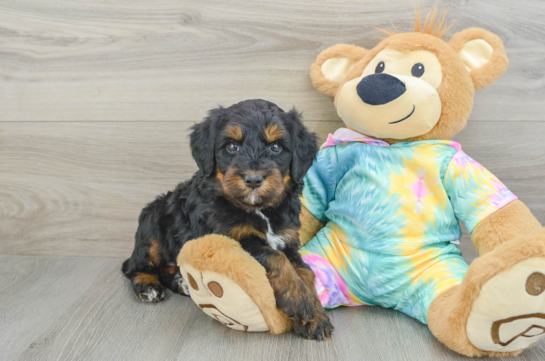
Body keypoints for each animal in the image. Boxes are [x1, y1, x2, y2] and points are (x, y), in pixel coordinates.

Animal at [122, 98, 332, 338]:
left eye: (276, 147)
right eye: (232, 146)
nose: (253, 179)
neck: (258, 209)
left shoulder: (287, 240)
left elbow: (305, 271)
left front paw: (315, 316)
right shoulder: (231, 238)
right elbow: (275, 257)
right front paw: (301, 301)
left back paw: (181, 282)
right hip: (152, 228)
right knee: (135, 266)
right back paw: (148, 286)